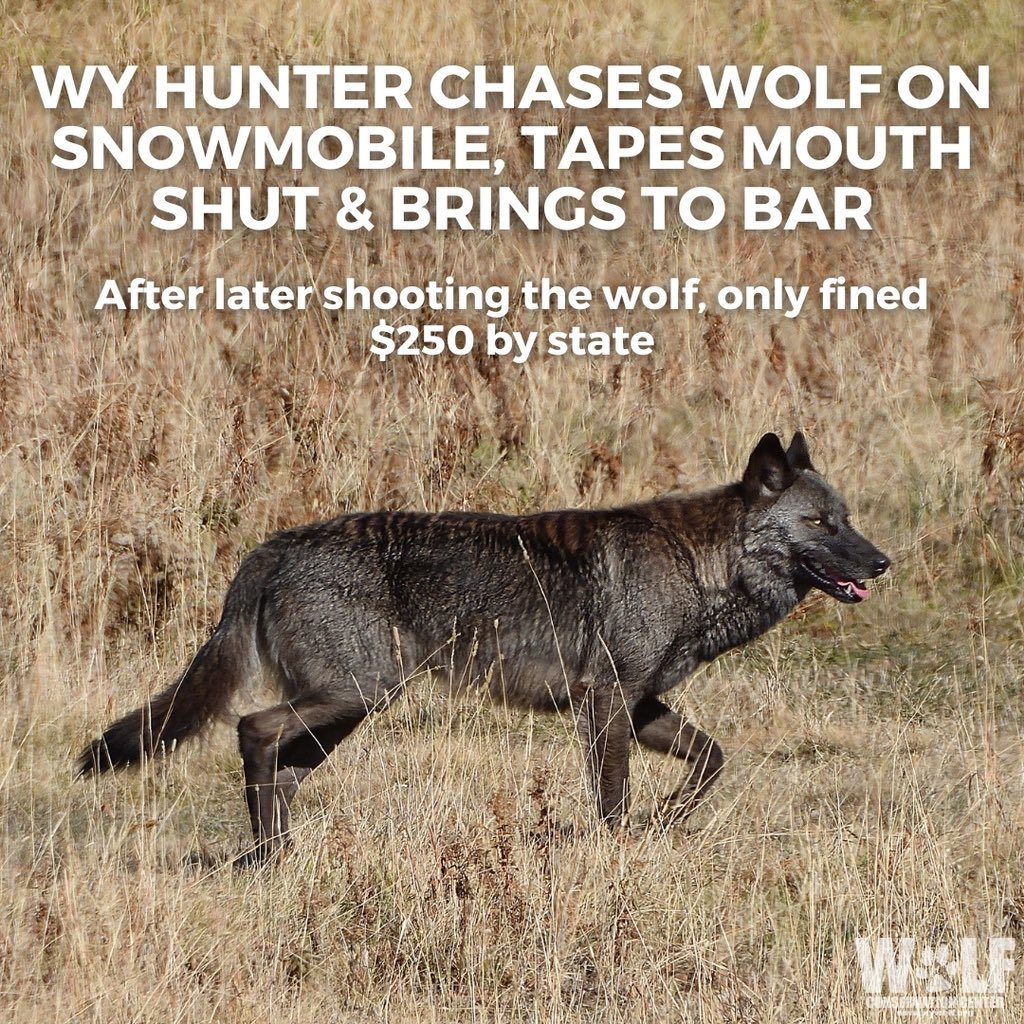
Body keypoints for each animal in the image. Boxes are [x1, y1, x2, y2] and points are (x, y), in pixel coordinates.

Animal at [79, 432, 889, 862]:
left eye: (847, 518)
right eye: (821, 524)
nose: (883, 563)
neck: (699, 566)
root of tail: (273, 546)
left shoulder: (642, 704)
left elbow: (711, 764)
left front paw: (663, 825)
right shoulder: (606, 704)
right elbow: (613, 800)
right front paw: (620, 852)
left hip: (347, 712)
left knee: (280, 766)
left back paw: (275, 856)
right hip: (353, 696)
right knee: (251, 729)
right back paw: (270, 853)